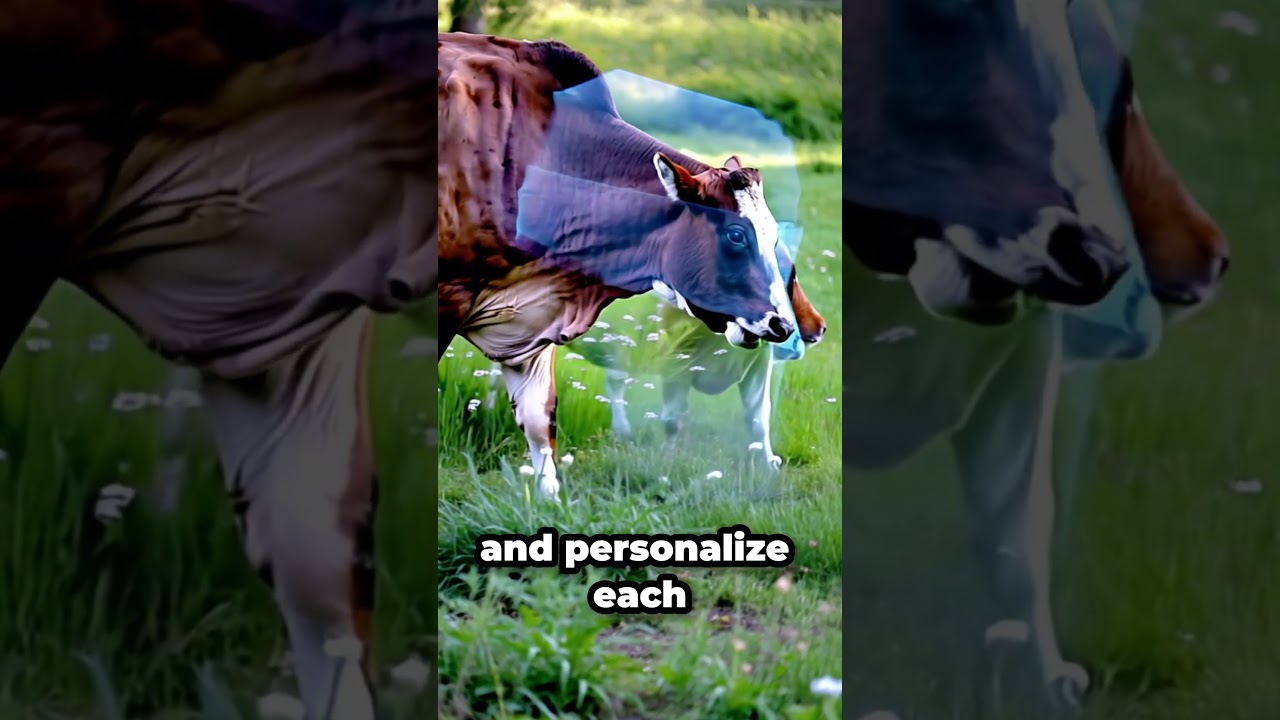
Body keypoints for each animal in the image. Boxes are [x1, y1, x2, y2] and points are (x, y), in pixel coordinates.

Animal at [438, 32, 803, 499]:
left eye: (774, 237)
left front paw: (550, 499)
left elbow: (540, 421)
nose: (782, 324)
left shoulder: (531, 319)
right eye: (736, 235)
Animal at [840, 0, 1229, 710]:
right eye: (943, 15)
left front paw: (1044, 687)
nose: (1098, 257)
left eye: (1104, 87)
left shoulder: (1030, 352)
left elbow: (1018, 539)